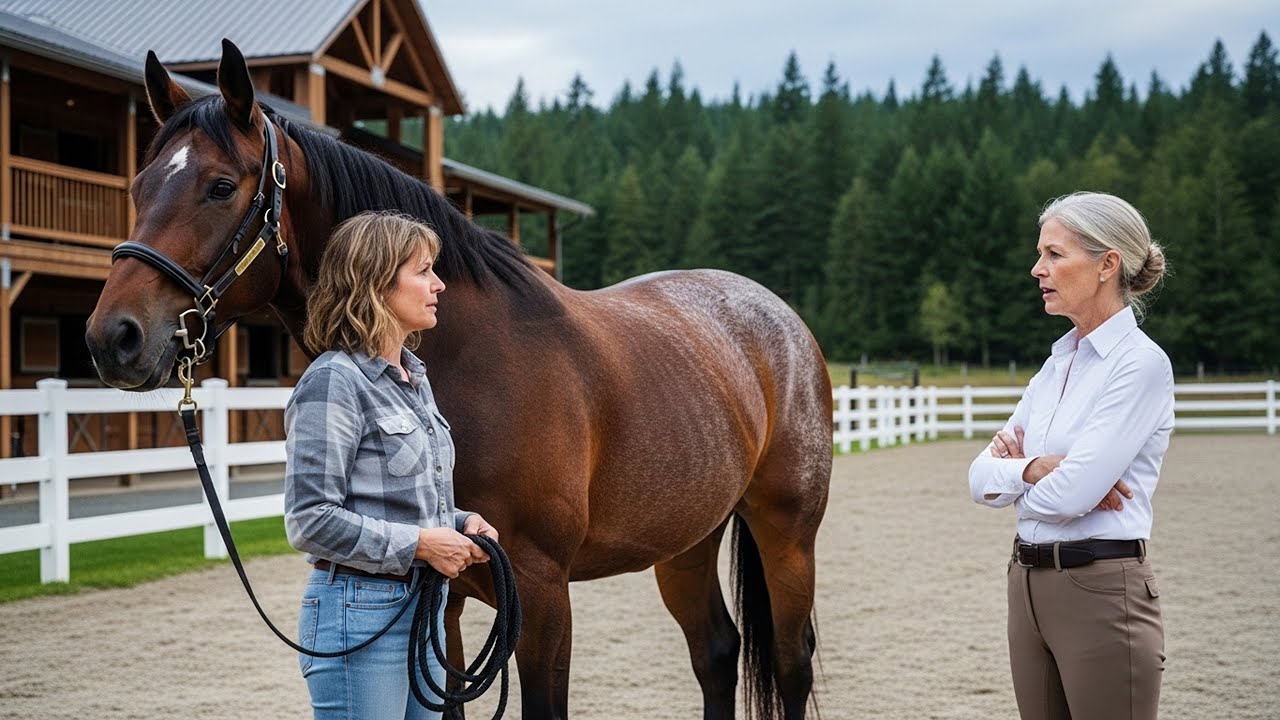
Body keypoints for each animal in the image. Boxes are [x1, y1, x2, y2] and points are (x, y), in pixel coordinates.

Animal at [86, 40, 832, 720]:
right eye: (138, 186)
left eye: (219, 186)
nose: (112, 337)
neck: (471, 360)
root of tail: (778, 319)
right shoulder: (439, 597)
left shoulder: (540, 593)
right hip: (686, 538)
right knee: (716, 653)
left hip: (788, 534)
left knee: (790, 662)